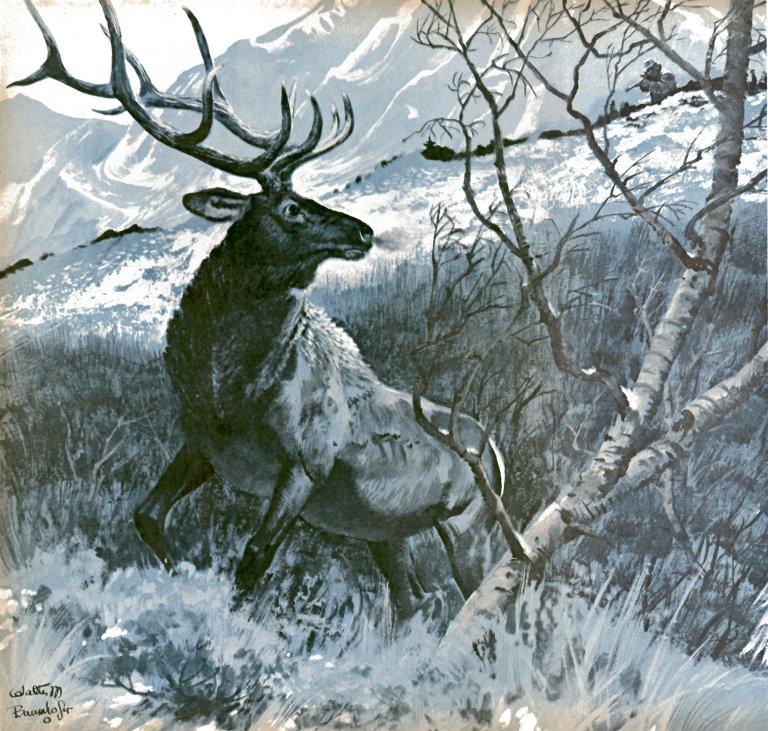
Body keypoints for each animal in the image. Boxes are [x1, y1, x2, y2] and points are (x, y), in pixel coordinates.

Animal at [14, 0, 507, 620]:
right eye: (292, 207)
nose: (363, 231)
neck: (226, 391)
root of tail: (498, 455)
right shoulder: (202, 447)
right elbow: (146, 516)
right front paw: (180, 575)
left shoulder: (307, 464)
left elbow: (251, 559)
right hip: (383, 532)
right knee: (413, 600)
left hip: (473, 524)